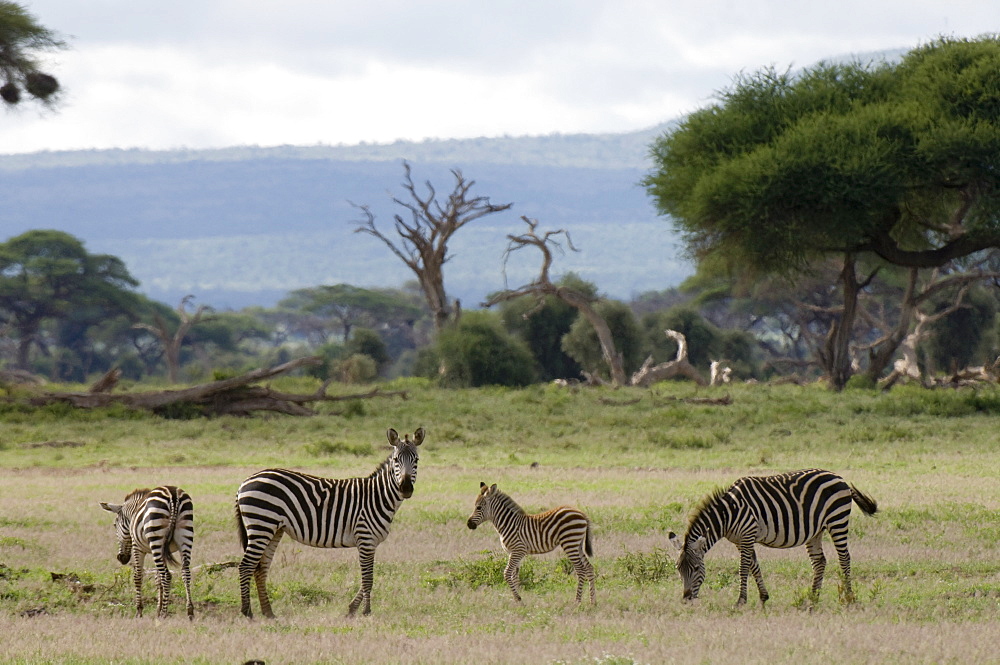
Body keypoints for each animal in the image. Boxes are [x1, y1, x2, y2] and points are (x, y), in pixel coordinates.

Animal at [99, 482, 195, 616]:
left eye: (114, 525)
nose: (121, 558)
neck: (133, 512)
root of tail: (173, 495)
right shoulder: (163, 551)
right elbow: (158, 579)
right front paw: (158, 608)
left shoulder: (137, 547)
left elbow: (138, 576)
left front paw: (139, 610)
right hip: (185, 535)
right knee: (185, 572)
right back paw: (189, 611)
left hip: (156, 536)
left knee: (167, 575)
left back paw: (164, 614)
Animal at [236, 426, 424, 616]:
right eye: (396, 460)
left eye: (416, 460)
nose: (406, 488)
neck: (378, 496)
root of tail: (245, 481)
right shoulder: (365, 538)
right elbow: (368, 578)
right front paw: (365, 612)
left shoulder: (371, 542)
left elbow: (368, 578)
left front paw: (352, 609)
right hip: (261, 524)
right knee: (246, 566)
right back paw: (247, 612)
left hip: (274, 529)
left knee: (261, 568)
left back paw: (269, 613)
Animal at [466, 480, 596, 604]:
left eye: (478, 507)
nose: (469, 524)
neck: (508, 523)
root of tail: (581, 513)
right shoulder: (513, 552)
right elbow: (514, 575)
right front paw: (518, 601)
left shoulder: (519, 550)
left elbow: (507, 573)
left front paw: (518, 598)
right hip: (577, 544)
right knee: (589, 568)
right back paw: (592, 601)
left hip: (570, 543)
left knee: (581, 570)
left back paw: (577, 601)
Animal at [668, 470, 880, 604]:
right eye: (678, 568)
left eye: (696, 568)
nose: (686, 599)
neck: (729, 513)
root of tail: (839, 478)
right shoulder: (741, 540)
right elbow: (754, 566)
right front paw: (763, 597)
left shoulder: (747, 534)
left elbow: (743, 568)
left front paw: (741, 600)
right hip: (816, 530)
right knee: (819, 561)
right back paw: (813, 598)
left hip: (837, 520)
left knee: (844, 558)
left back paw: (849, 597)